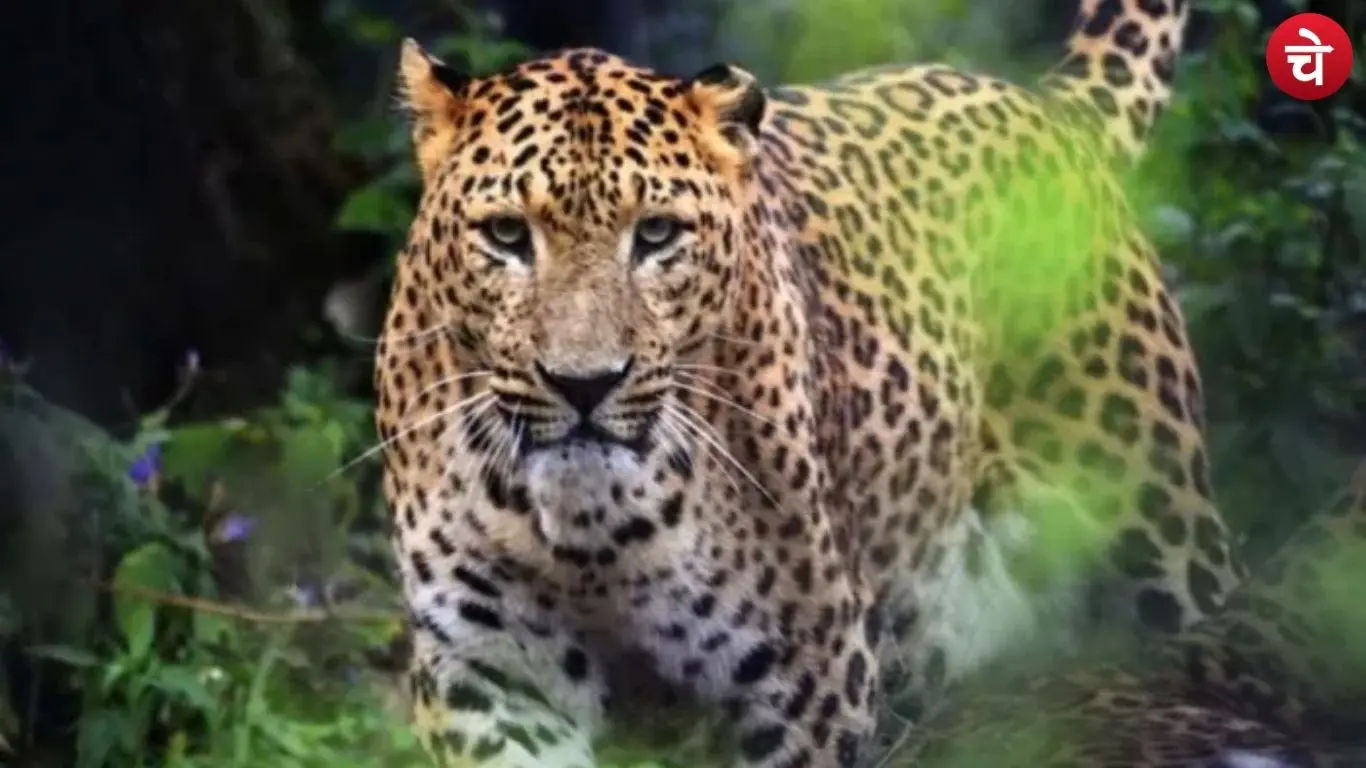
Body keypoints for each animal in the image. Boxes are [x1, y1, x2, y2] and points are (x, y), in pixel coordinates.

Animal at [372, 1, 1266, 766]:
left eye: (656, 235)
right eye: (506, 235)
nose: (583, 385)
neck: (595, 535)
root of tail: (1044, 105)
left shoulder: (804, 681)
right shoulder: (489, 673)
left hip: (1158, 531)